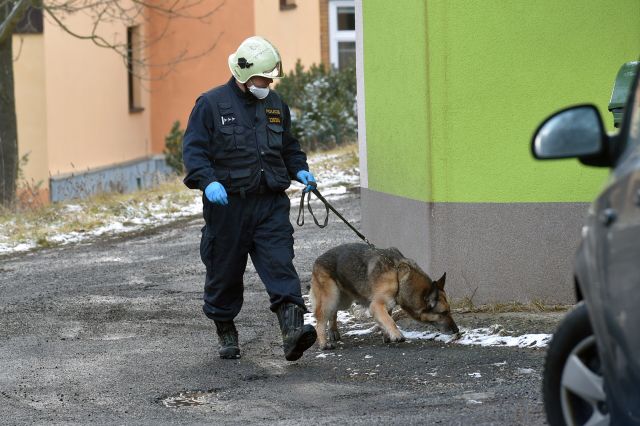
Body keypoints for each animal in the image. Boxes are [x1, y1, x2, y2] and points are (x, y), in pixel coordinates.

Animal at [308, 243, 456, 350]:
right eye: (444, 313)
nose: (457, 330)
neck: (399, 277)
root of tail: (318, 259)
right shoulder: (377, 305)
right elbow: (390, 320)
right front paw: (396, 334)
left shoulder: (388, 305)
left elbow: (386, 318)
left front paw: (387, 335)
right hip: (330, 298)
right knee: (320, 321)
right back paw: (324, 343)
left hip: (343, 300)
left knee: (333, 312)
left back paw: (333, 331)